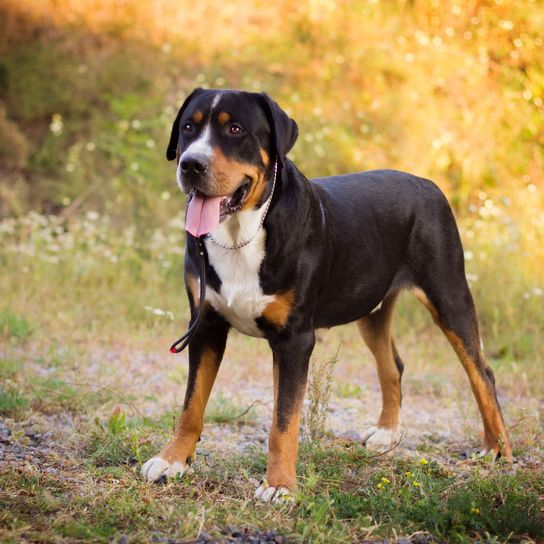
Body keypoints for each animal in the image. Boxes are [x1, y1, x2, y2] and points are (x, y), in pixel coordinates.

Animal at [141, 87, 516, 500]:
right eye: (189, 128)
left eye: (235, 129)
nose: (191, 164)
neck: (241, 234)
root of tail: (427, 183)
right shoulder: (206, 325)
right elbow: (191, 406)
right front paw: (173, 460)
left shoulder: (294, 339)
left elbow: (283, 421)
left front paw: (279, 484)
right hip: (372, 308)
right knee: (393, 366)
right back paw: (387, 434)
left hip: (448, 295)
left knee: (481, 372)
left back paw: (498, 449)